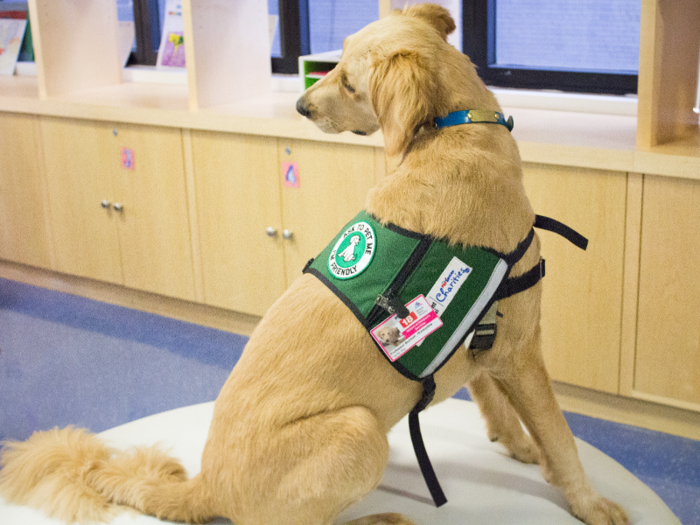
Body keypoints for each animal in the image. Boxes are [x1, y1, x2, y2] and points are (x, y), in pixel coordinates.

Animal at [0, 4, 628, 524]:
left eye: (348, 79)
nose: (298, 105)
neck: (452, 134)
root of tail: (208, 486)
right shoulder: (522, 348)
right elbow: (562, 437)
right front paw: (589, 502)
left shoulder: (492, 343)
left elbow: (494, 400)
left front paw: (519, 446)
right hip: (359, 431)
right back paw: (378, 519)